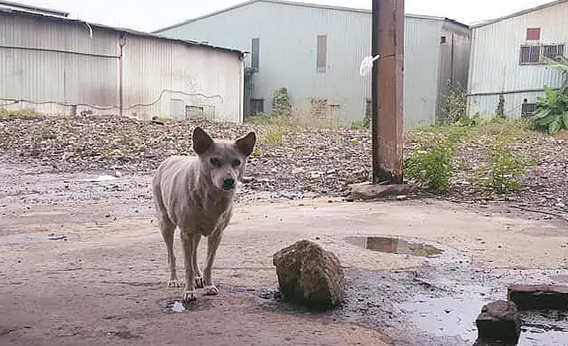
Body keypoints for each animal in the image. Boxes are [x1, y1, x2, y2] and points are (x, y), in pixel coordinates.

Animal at [152, 126, 256, 300]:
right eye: (214, 160)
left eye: (237, 162)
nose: (229, 181)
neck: (212, 198)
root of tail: (168, 160)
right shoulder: (186, 233)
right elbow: (187, 266)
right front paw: (189, 291)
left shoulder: (217, 234)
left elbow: (208, 263)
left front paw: (208, 285)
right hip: (166, 224)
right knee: (172, 255)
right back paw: (174, 279)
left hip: (197, 233)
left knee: (194, 253)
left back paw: (198, 277)